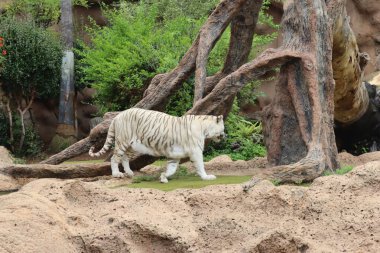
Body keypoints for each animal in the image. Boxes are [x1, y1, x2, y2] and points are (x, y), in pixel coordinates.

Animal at [89, 107, 226, 183]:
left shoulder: (174, 155)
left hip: (132, 146)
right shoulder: (196, 151)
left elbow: (171, 169)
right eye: (223, 128)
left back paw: (129, 173)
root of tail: (117, 117)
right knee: (114, 158)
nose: (225, 135)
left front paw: (163, 177)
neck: (204, 128)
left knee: (124, 158)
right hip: (123, 142)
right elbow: (200, 166)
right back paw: (117, 174)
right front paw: (207, 177)